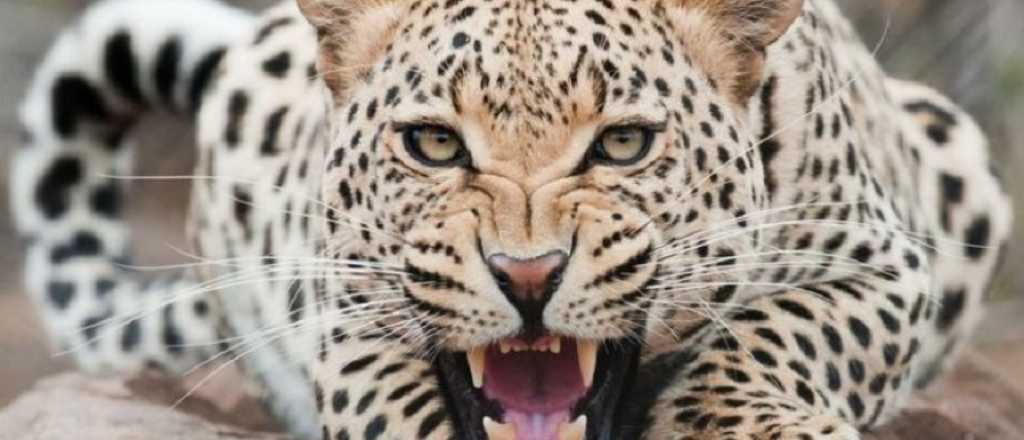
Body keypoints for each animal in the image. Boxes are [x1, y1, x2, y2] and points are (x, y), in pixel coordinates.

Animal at [11, 0, 1012, 439]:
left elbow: (773, 336)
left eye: (622, 145)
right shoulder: (349, 312)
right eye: (433, 144)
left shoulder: (885, 265)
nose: (527, 276)